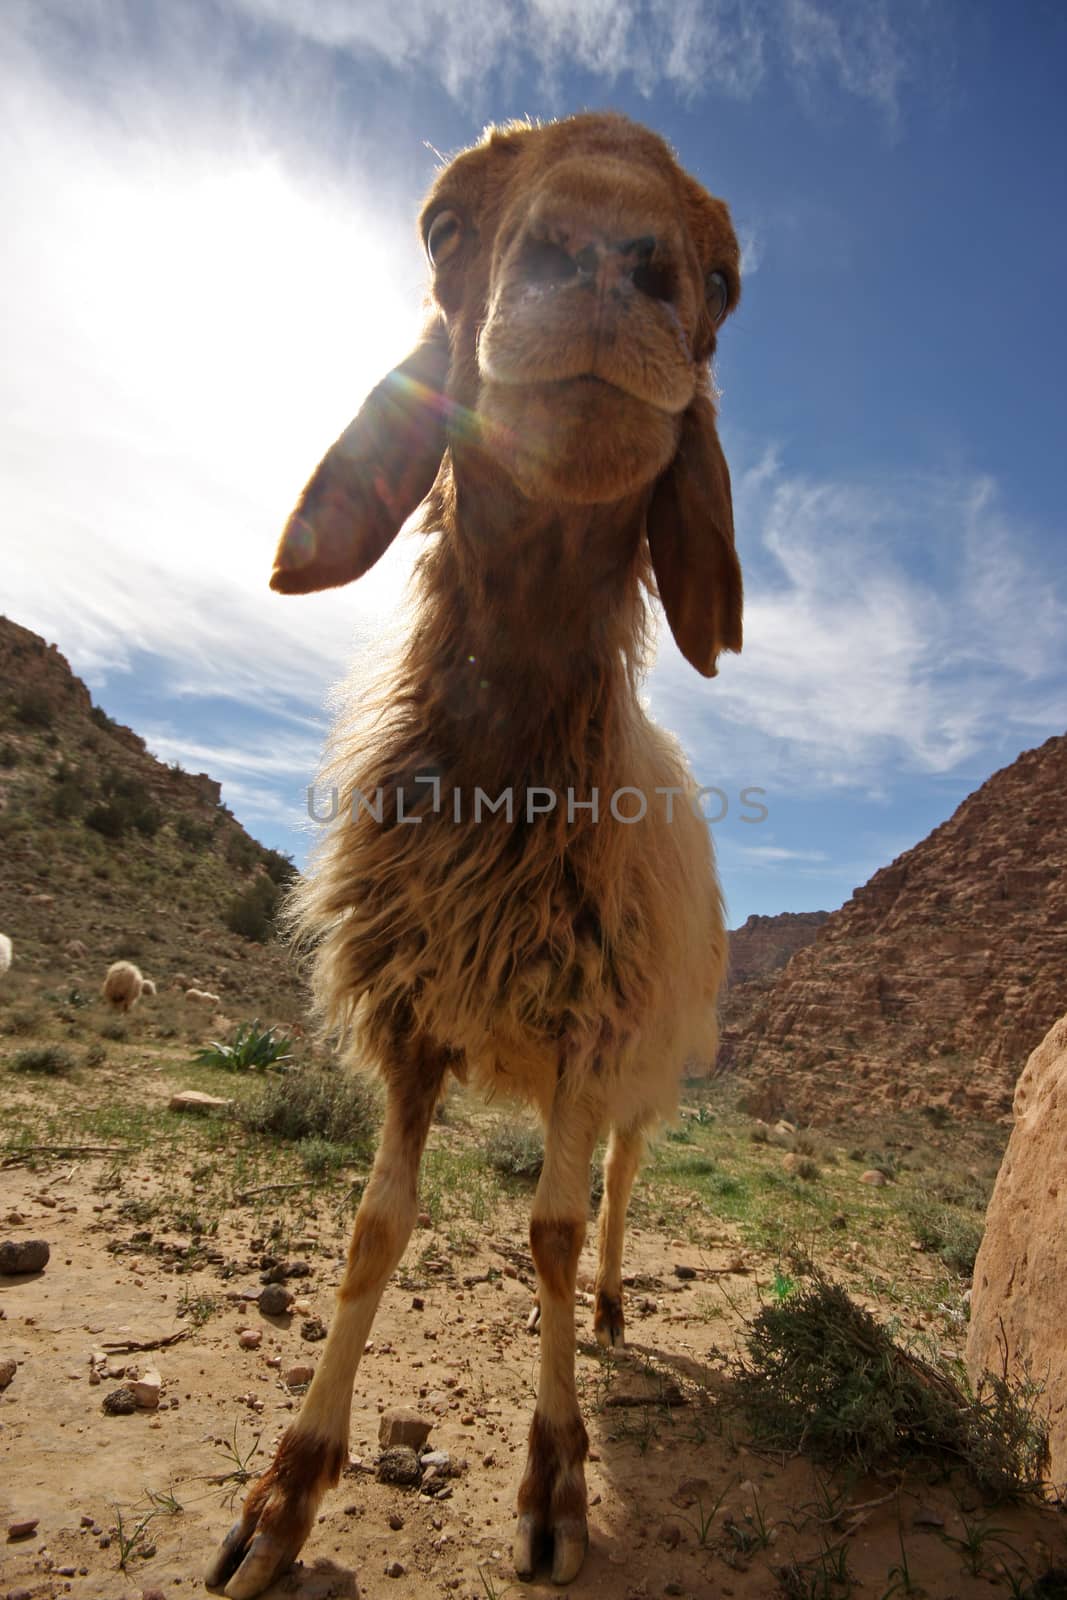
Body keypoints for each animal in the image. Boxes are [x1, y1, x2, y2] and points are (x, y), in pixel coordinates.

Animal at [206, 106, 742, 1593]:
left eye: (724, 279)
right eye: (443, 223)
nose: (610, 260)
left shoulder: (589, 1028)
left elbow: (549, 1232)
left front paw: (554, 1480)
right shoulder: (409, 1016)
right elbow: (374, 1227)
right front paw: (286, 1491)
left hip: (648, 1051)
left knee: (617, 1179)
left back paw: (613, 1300)